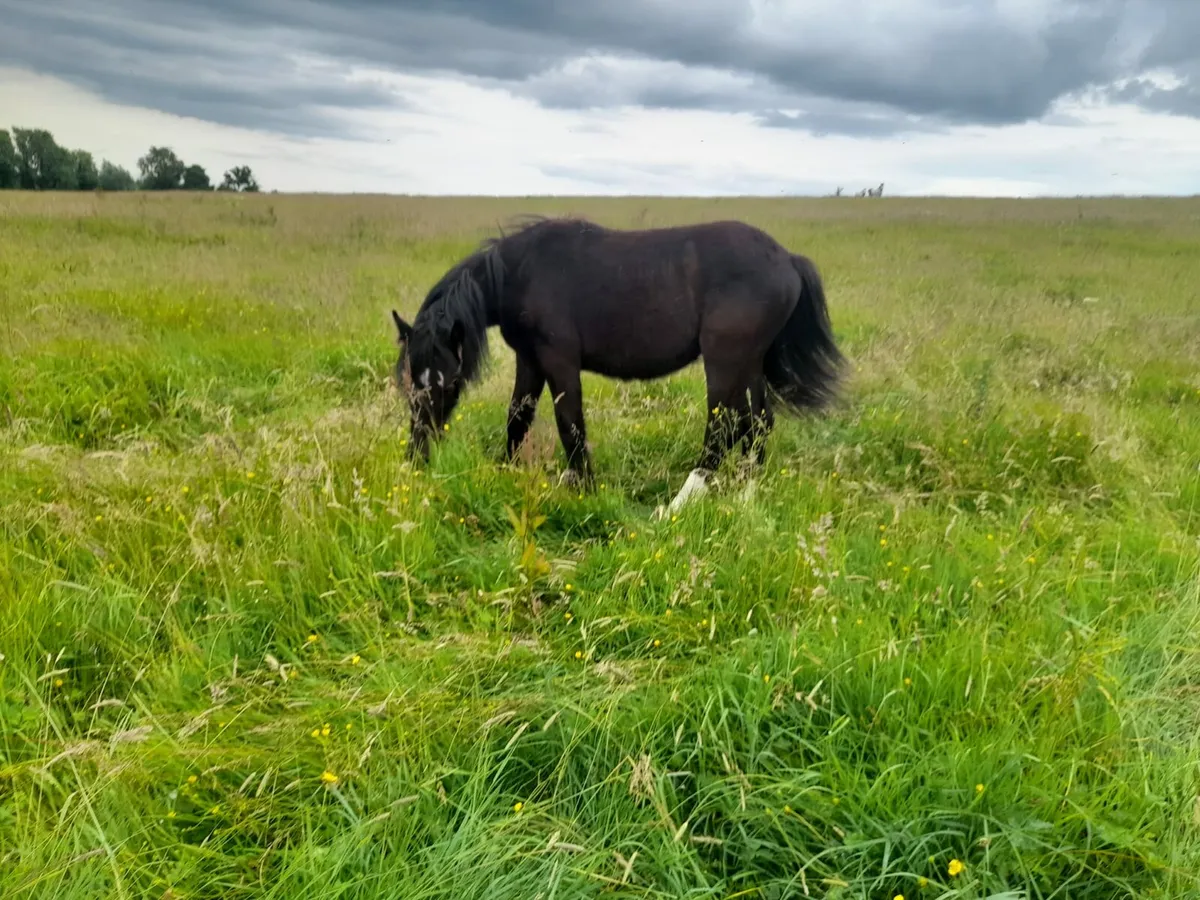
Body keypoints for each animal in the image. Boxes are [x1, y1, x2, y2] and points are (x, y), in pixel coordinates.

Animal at [390, 216, 844, 513]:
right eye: (410, 382)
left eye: (450, 384)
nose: (417, 456)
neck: (520, 272)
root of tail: (787, 259)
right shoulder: (530, 360)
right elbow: (518, 418)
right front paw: (505, 474)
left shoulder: (558, 359)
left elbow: (570, 425)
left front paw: (584, 488)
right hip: (749, 365)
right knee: (757, 423)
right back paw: (747, 495)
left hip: (725, 361)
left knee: (723, 426)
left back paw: (679, 503)